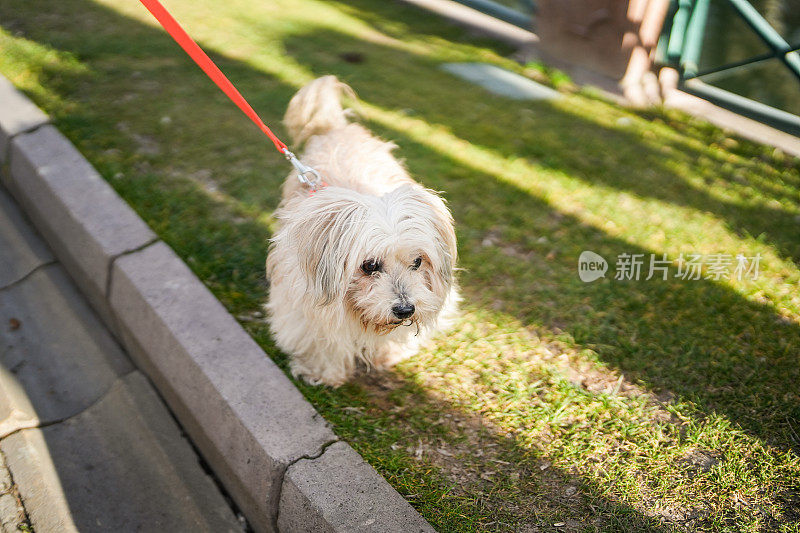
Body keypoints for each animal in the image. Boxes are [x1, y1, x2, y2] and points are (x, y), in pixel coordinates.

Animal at [268, 76, 460, 386]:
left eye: (418, 262)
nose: (405, 309)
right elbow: (323, 339)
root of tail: (337, 127)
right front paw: (322, 372)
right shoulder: (302, 302)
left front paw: (388, 354)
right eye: (369, 266)